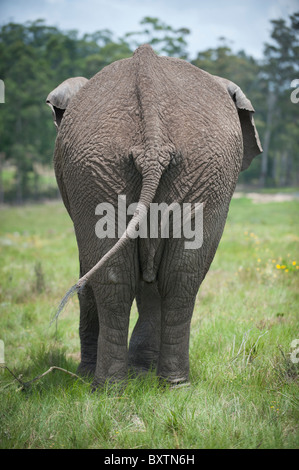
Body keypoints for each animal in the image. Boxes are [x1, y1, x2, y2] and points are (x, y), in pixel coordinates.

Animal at [46, 45, 262, 390]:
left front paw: (130, 371)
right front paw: (141, 372)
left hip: (145, 166)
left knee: (139, 276)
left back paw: (112, 387)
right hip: (173, 165)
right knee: (176, 275)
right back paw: (162, 386)